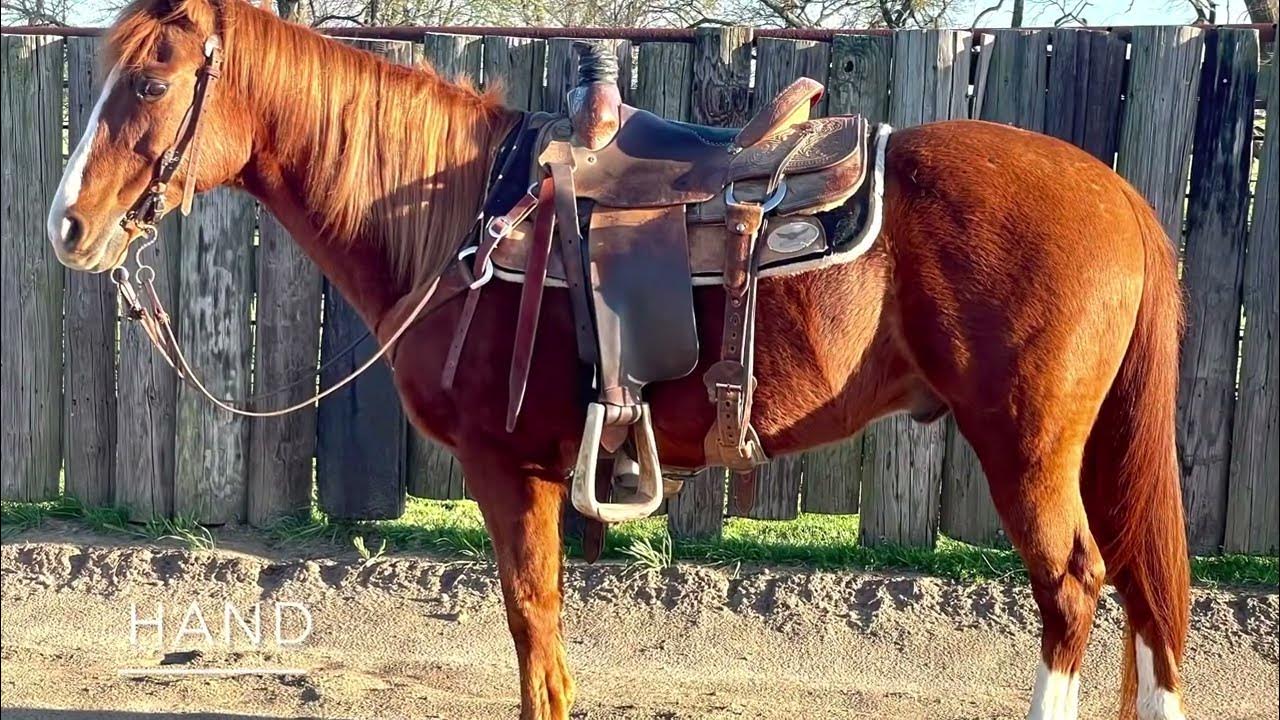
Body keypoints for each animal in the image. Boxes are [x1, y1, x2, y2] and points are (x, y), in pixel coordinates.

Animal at [46, 0, 1190, 717]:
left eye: (149, 81)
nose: (68, 226)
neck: (465, 214)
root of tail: (1119, 198)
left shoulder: (507, 467)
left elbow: (531, 626)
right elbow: (545, 643)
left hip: (1026, 445)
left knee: (1073, 589)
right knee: (1139, 596)